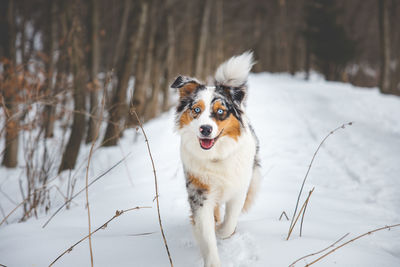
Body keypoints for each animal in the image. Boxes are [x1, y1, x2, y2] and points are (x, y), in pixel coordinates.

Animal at [173, 51, 262, 266]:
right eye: (196, 110)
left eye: (221, 111)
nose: (205, 129)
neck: (216, 156)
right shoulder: (199, 192)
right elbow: (206, 234)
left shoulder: (239, 187)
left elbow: (229, 222)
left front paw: (222, 232)